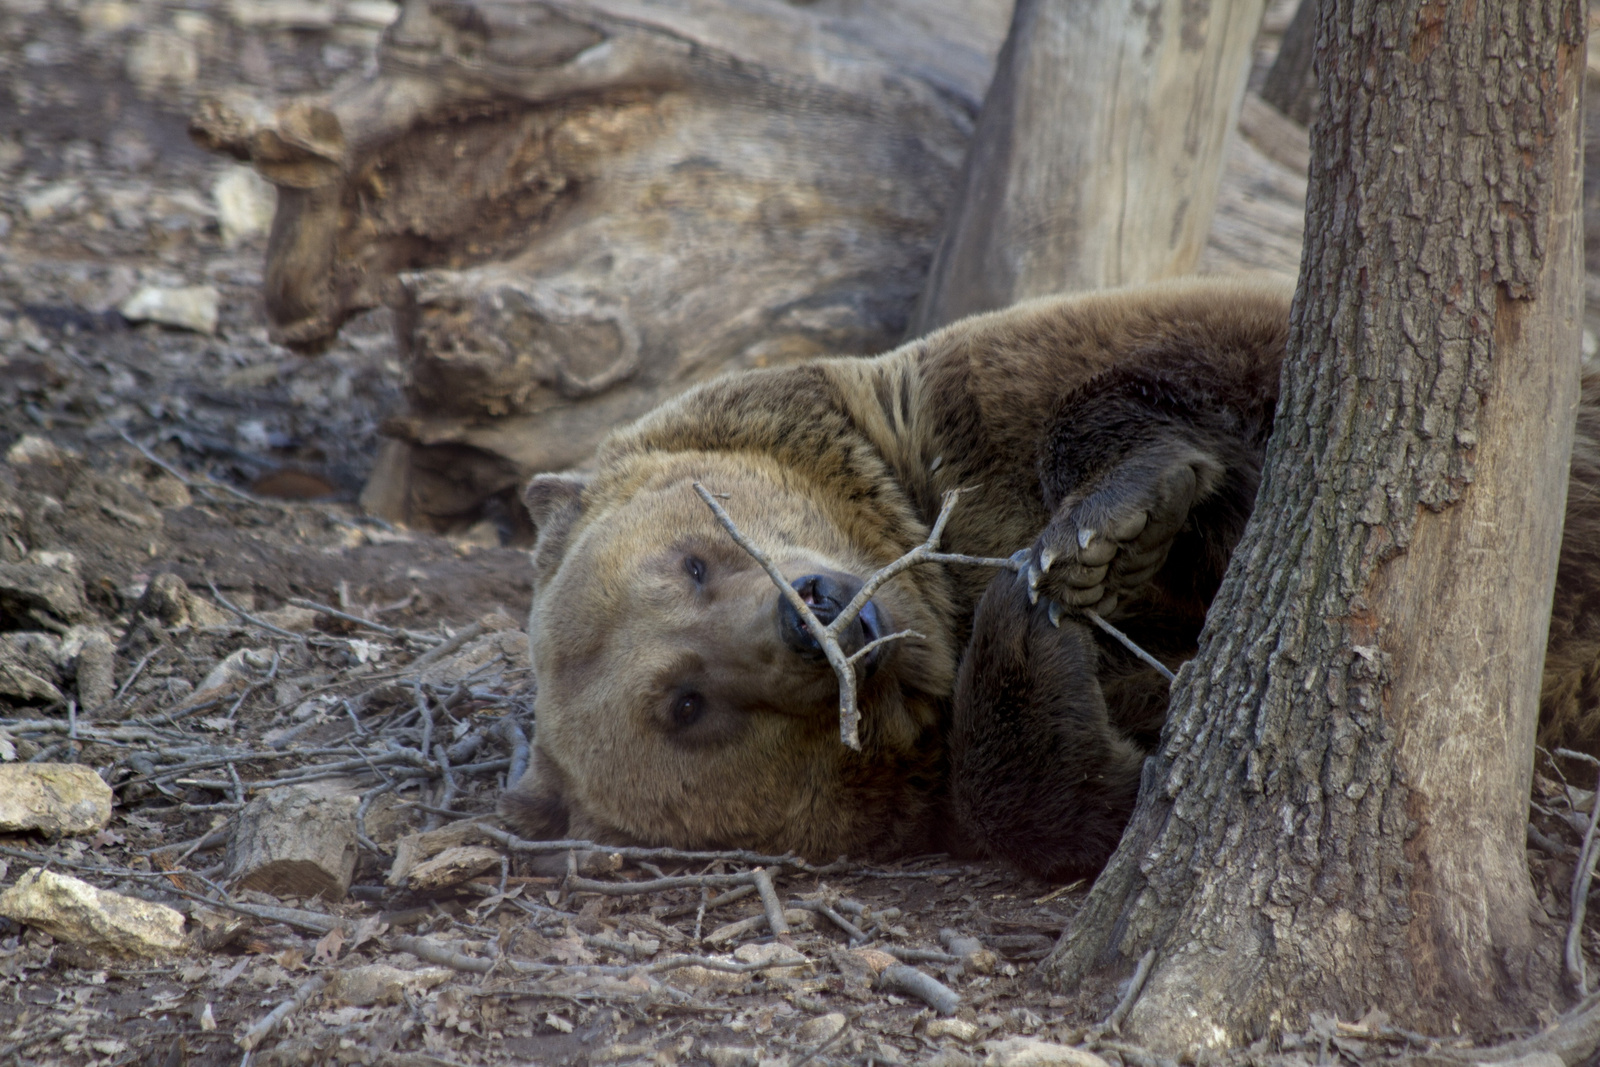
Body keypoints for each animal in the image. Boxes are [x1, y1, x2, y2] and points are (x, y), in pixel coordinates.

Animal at [499, 278, 1600, 883]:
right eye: (686, 702)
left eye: (693, 558)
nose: (813, 615)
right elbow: (1089, 795)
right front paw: (1040, 629)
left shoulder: (977, 402)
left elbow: (1192, 359)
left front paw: (1110, 524)